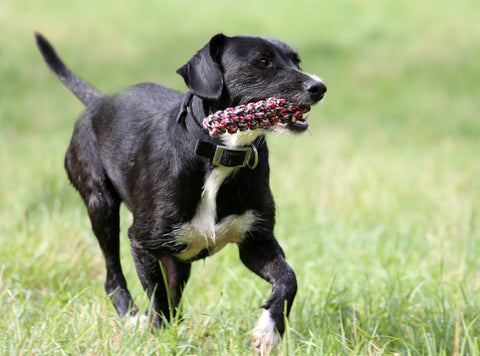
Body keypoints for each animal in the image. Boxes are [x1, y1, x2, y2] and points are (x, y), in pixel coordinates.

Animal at [34, 32, 326, 352]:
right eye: (262, 61)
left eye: (296, 61)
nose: (319, 87)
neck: (221, 155)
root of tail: (97, 100)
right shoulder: (142, 243)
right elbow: (158, 298)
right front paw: (159, 337)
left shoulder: (255, 242)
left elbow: (288, 278)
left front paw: (269, 329)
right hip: (100, 204)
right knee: (113, 276)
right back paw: (132, 318)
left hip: (176, 254)